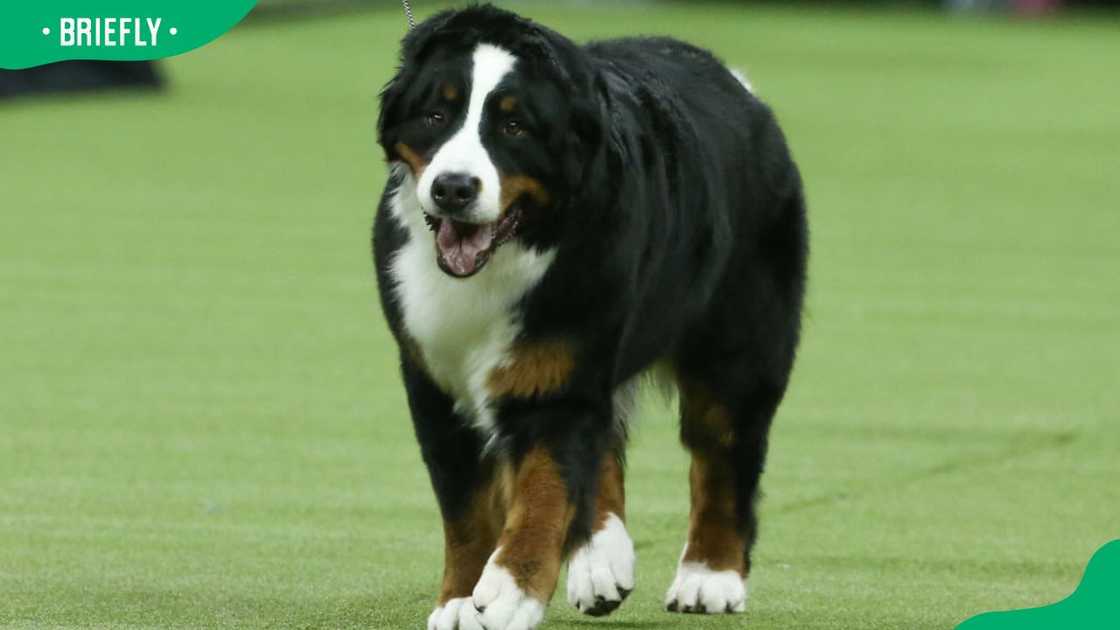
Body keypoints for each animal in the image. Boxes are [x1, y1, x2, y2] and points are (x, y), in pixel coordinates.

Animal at [374, 6, 806, 627]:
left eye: (514, 127)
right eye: (436, 115)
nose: (454, 187)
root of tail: (737, 87)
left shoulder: (556, 373)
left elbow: (544, 489)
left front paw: (510, 591)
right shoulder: (436, 381)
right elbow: (467, 508)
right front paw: (459, 600)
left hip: (737, 344)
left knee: (724, 450)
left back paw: (709, 575)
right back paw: (602, 559)